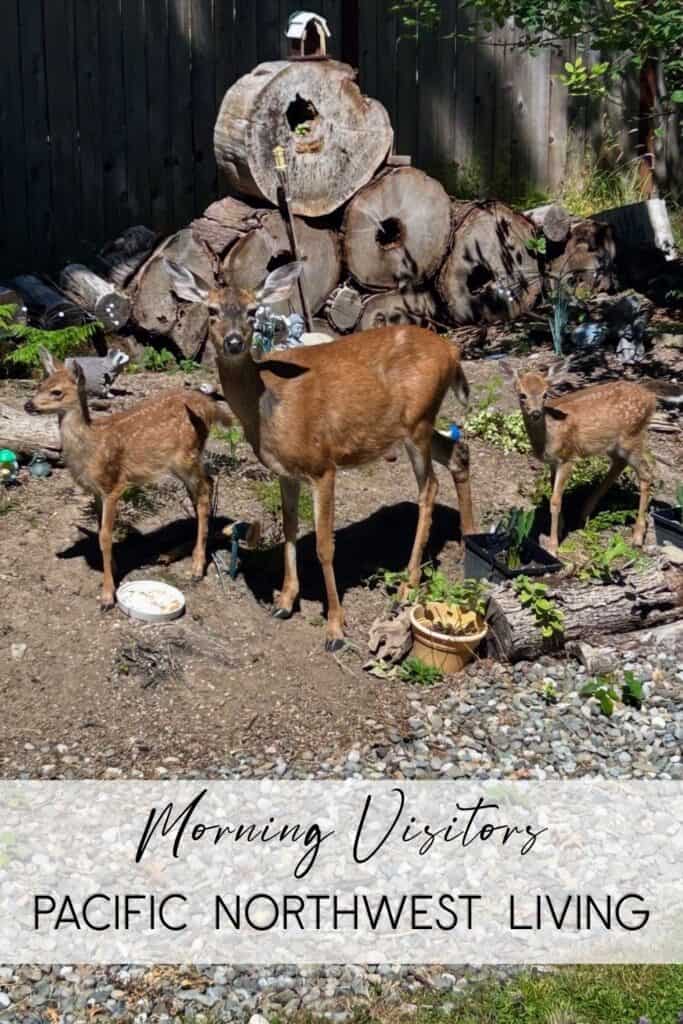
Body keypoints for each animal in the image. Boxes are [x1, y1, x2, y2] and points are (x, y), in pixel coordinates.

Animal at [25, 349, 233, 609]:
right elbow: (99, 529)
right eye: (40, 385)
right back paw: (170, 554)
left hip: (187, 456)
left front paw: (107, 595)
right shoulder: (96, 491)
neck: (90, 447)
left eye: (57, 392)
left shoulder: (113, 485)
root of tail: (209, 405)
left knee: (204, 493)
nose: (28, 404)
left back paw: (196, 568)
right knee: (205, 488)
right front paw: (113, 568)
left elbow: (105, 536)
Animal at [164, 259, 475, 651]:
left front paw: (336, 629)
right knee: (458, 451)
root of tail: (453, 351)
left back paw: (408, 585)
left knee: (428, 488)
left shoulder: (323, 465)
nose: (234, 341)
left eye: (252, 312)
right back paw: (469, 539)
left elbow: (325, 546)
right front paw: (284, 601)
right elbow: (290, 528)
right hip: (413, 425)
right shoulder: (285, 471)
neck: (268, 408)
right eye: (212, 310)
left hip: (418, 421)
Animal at [502, 359, 659, 556]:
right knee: (619, 465)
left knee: (646, 474)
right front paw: (561, 527)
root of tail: (652, 398)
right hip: (615, 444)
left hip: (633, 437)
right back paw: (585, 513)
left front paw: (553, 546)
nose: (536, 413)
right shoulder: (554, 462)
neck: (550, 435)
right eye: (522, 395)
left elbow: (555, 501)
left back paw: (637, 537)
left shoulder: (568, 458)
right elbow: (554, 494)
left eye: (545, 394)